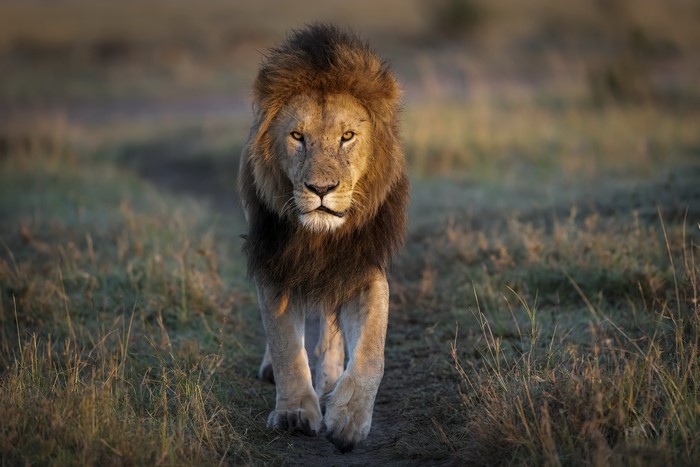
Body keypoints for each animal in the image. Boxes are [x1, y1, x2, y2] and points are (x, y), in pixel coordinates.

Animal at [237, 24, 409, 452]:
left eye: (347, 136)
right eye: (297, 136)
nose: (320, 189)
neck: (320, 237)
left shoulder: (363, 270)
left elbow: (372, 353)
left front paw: (348, 418)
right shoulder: (274, 266)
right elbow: (284, 345)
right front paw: (295, 413)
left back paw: (330, 379)